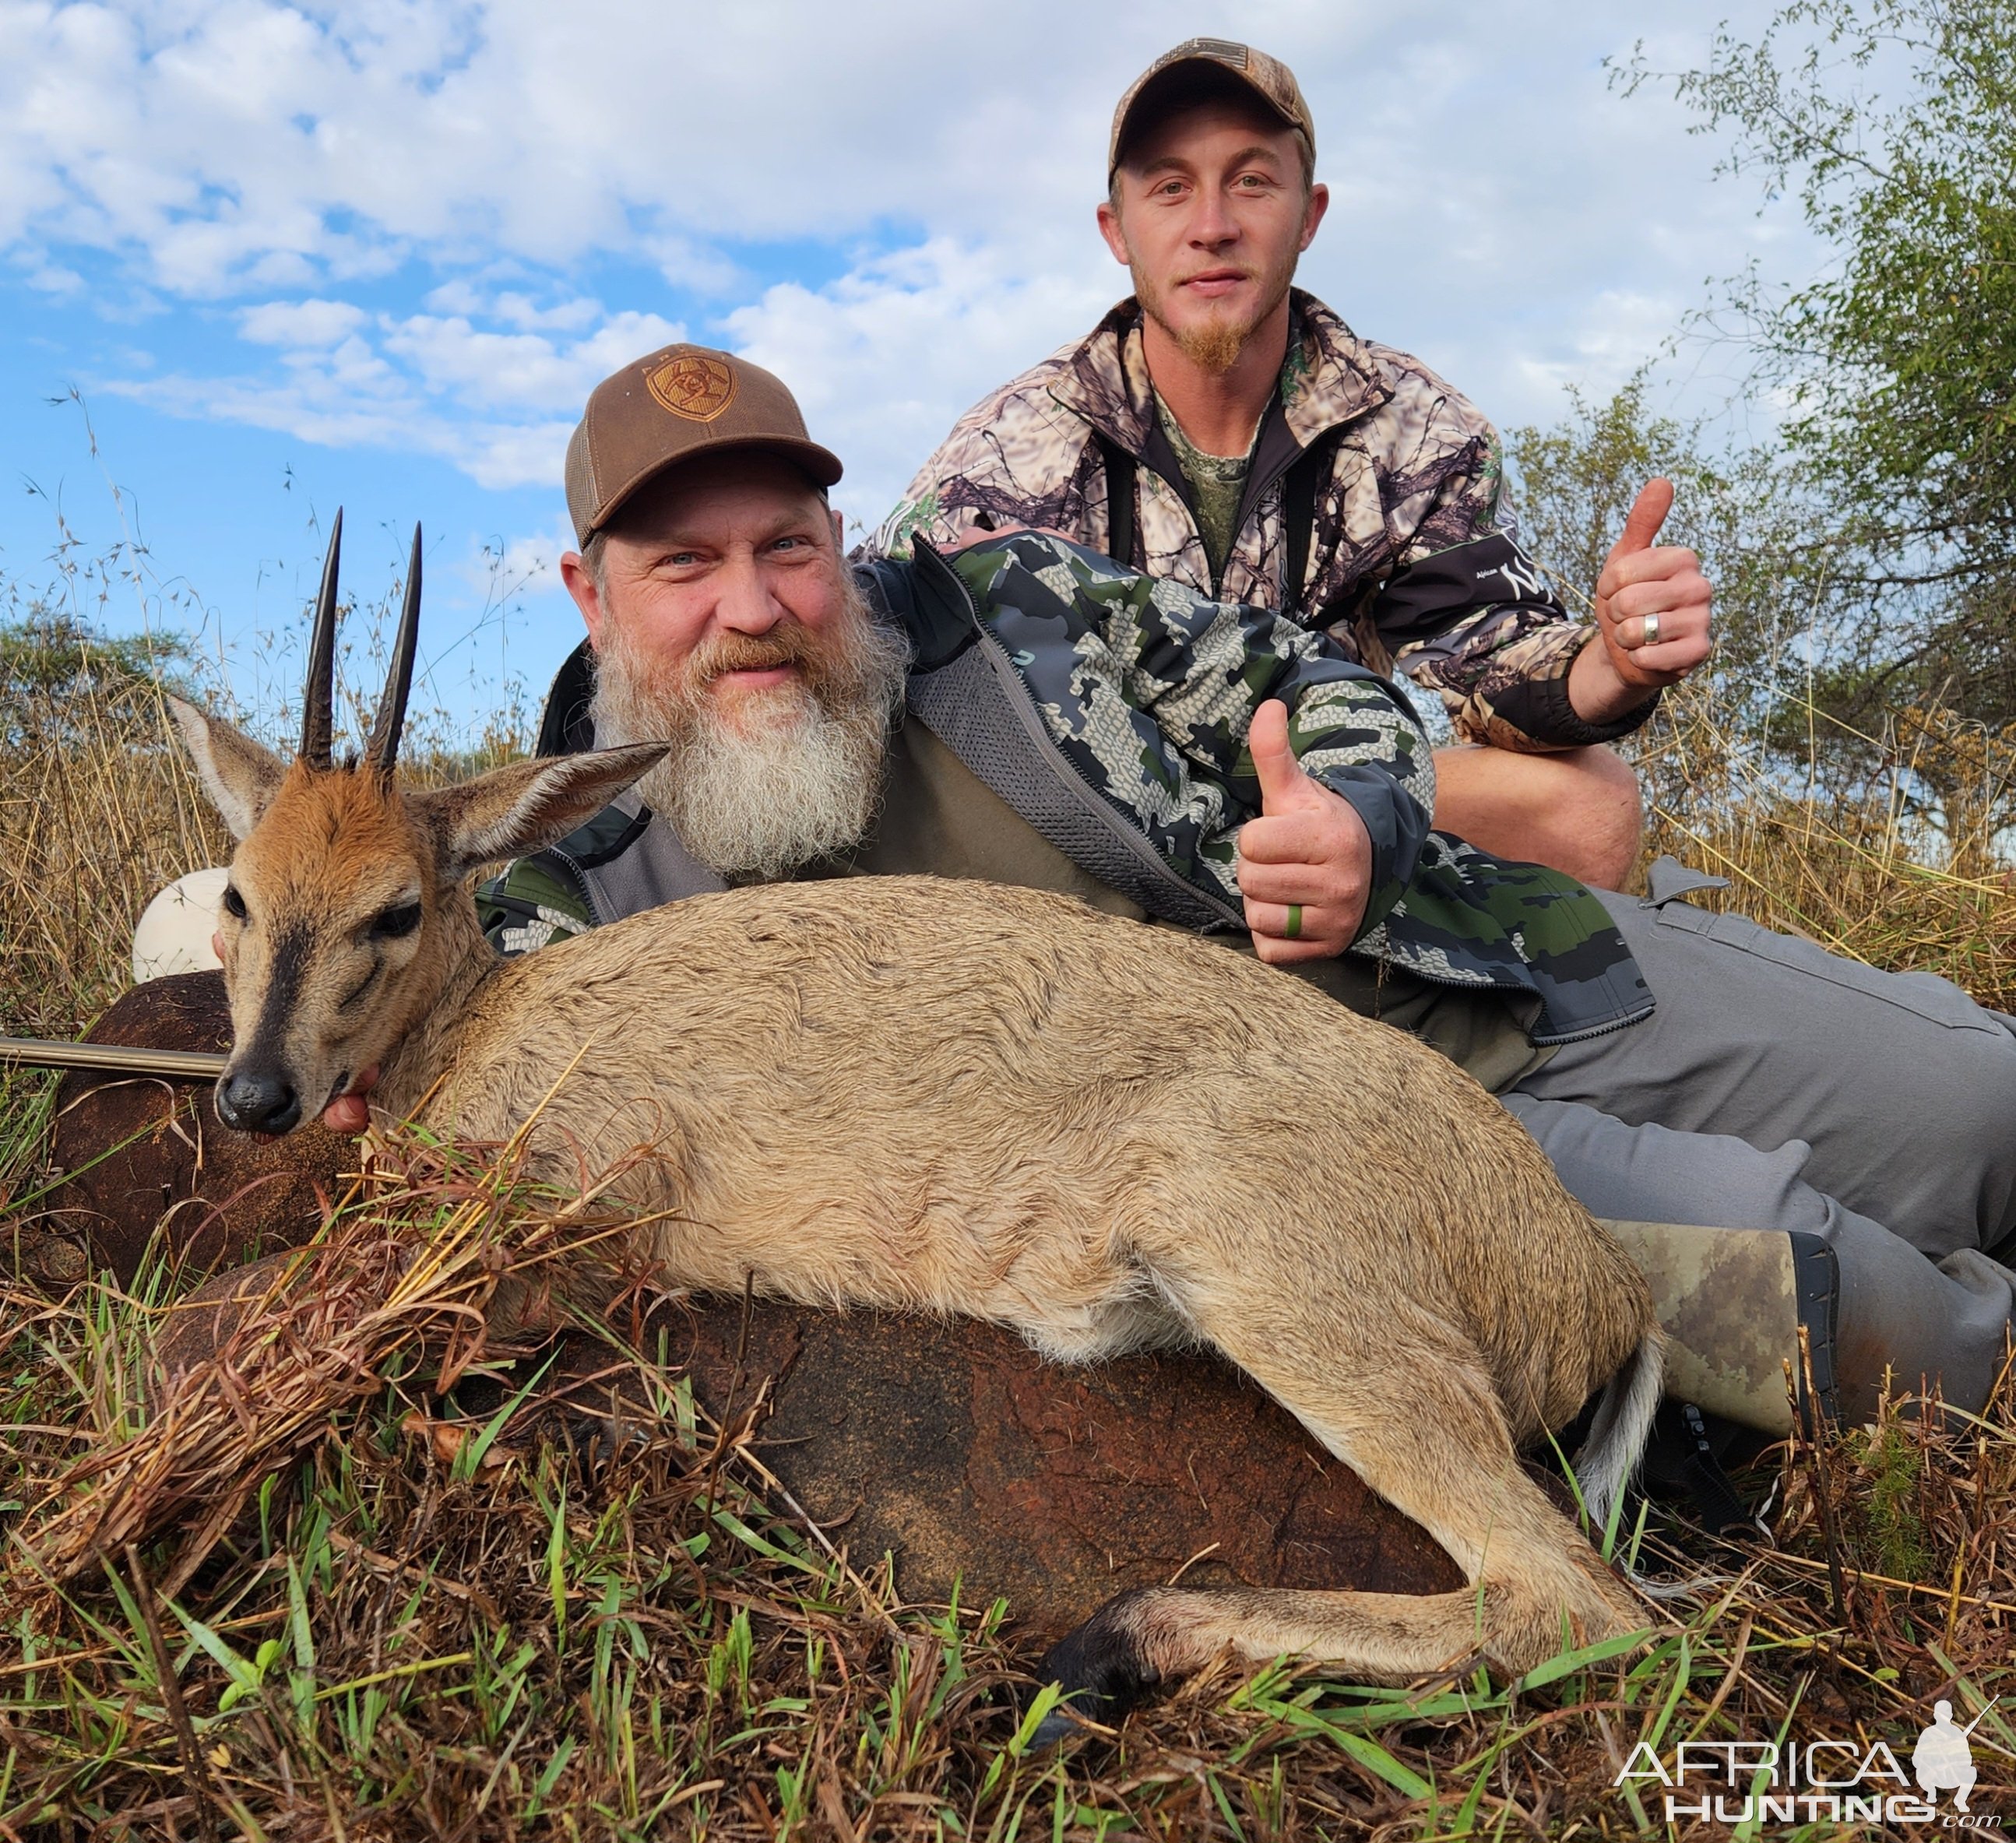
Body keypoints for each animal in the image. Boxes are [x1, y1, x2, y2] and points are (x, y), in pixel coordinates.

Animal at [169, 514, 1652, 1725]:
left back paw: (1107, 1646)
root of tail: (1598, 1281)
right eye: (238, 892)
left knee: (1573, 1601)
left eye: (394, 907)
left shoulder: (582, 1234)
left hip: (1296, 1300)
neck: (487, 1020)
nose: (255, 1095)